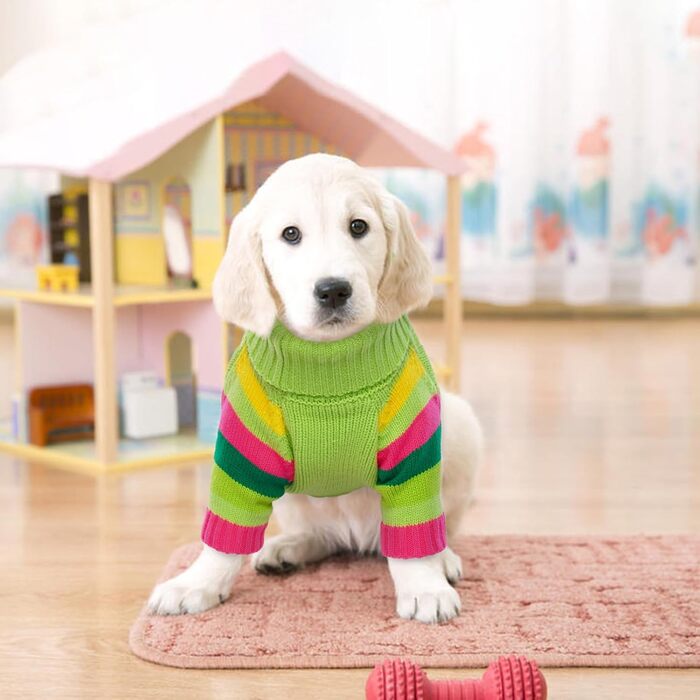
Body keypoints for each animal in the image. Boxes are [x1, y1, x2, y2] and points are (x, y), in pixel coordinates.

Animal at [148, 153, 482, 624]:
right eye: (291, 234)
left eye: (359, 226)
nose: (333, 290)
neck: (328, 362)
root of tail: (361, 538)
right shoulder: (243, 452)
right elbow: (225, 533)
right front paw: (198, 581)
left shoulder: (414, 449)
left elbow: (415, 531)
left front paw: (425, 585)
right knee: (323, 535)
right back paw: (289, 547)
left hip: (461, 428)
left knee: (435, 526)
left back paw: (444, 558)